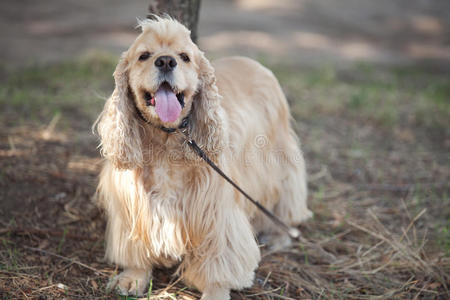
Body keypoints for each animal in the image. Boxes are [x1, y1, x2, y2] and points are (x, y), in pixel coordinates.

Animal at [94, 16, 312, 300]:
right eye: (144, 55)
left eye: (185, 57)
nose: (166, 61)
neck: (167, 140)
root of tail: (253, 61)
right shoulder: (132, 205)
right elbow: (136, 248)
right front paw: (133, 277)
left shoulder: (217, 213)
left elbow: (219, 260)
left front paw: (215, 291)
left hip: (281, 159)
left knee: (286, 202)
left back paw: (278, 236)